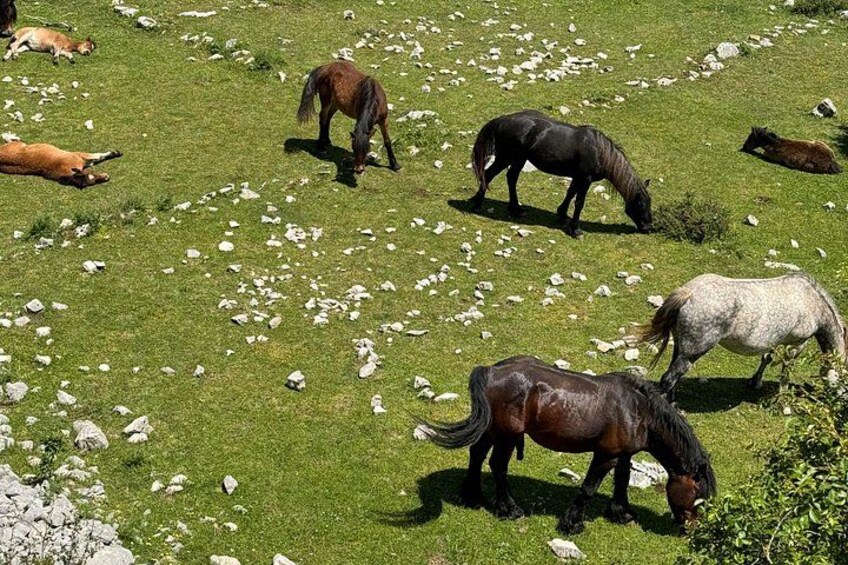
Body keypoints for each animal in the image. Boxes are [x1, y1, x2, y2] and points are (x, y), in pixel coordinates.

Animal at [417, 356, 716, 535]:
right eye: (699, 496)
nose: (691, 529)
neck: (638, 410)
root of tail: (490, 370)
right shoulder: (605, 456)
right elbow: (588, 488)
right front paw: (572, 524)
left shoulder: (624, 455)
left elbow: (621, 482)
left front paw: (621, 513)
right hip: (508, 435)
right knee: (497, 465)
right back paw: (509, 509)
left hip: (493, 430)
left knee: (477, 454)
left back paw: (473, 495)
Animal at [469, 110, 653, 238]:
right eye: (641, 204)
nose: (649, 228)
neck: (599, 151)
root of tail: (503, 119)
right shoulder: (585, 179)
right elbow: (579, 202)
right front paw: (575, 229)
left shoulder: (578, 177)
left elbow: (570, 193)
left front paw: (562, 214)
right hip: (505, 158)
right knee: (488, 174)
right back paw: (477, 203)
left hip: (519, 159)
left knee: (511, 178)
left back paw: (516, 209)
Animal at [641, 273, 848, 402]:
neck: (811, 300)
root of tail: (689, 293)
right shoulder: (797, 344)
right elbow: (786, 369)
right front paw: (783, 398)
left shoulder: (773, 341)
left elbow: (767, 358)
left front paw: (755, 382)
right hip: (692, 352)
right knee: (669, 378)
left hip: (680, 348)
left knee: (674, 376)